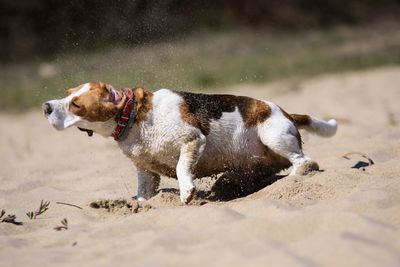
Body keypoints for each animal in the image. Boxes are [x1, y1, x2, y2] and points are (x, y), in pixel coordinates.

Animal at [43, 82, 338, 204]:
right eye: (68, 93)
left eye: (76, 105)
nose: (45, 106)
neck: (136, 115)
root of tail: (286, 112)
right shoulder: (145, 170)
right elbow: (144, 193)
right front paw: (140, 204)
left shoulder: (192, 141)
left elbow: (181, 168)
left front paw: (187, 192)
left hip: (274, 136)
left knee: (306, 162)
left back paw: (295, 177)